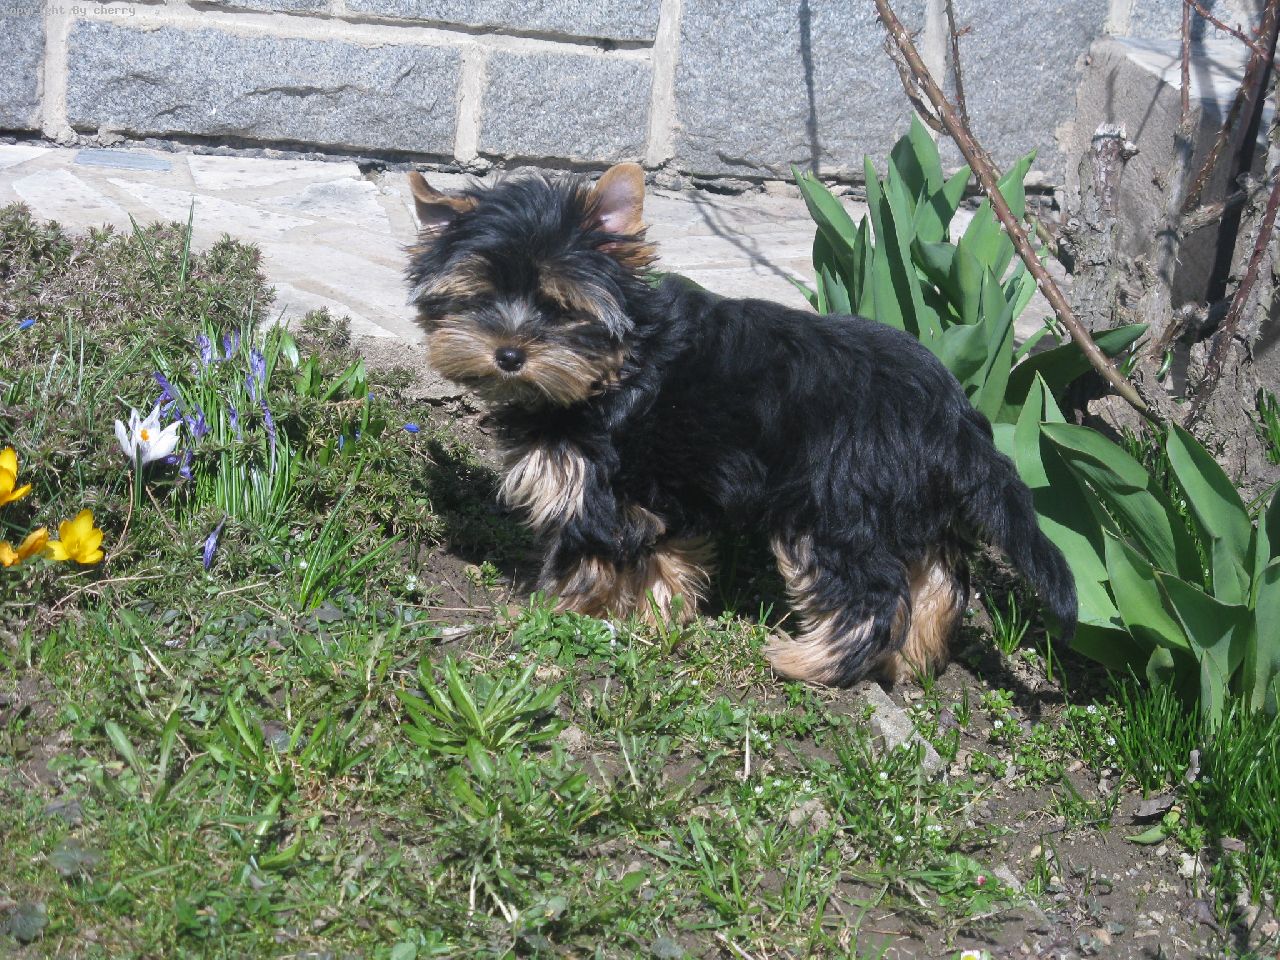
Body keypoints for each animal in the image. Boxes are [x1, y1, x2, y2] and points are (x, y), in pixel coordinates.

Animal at [404, 162, 1077, 686]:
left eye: (558, 307)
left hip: (834, 501)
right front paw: (653, 618)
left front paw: (545, 615)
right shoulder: (661, 496)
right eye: (478, 298)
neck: (618, 364)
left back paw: (807, 663)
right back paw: (911, 665)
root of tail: (951, 412)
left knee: (871, 593)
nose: (509, 354)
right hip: (906, 503)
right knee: (938, 579)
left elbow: (583, 559)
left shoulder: (593, 489)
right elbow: (664, 558)